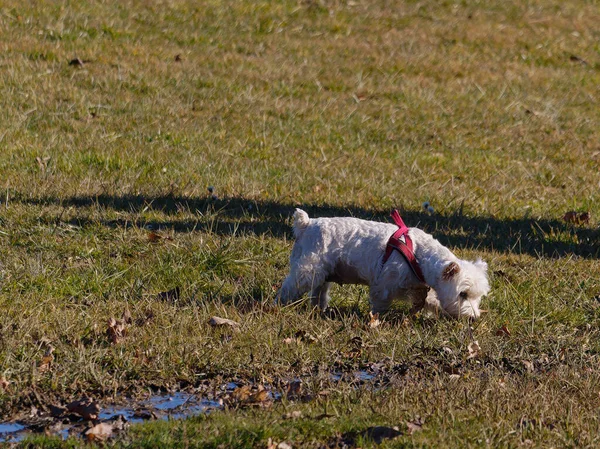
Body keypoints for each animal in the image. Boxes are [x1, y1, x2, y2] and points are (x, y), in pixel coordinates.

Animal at [278, 208, 490, 316]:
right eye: (463, 294)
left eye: (478, 296)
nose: (474, 317)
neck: (419, 255)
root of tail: (307, 224)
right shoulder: (385, 285)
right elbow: (380, 304)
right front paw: (378, 320)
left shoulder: (419, 287)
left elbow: (430, 300)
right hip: (307, 269)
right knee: (289, 287)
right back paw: (279, 305)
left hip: (323, 272)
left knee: (319, 290)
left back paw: (319, 308)